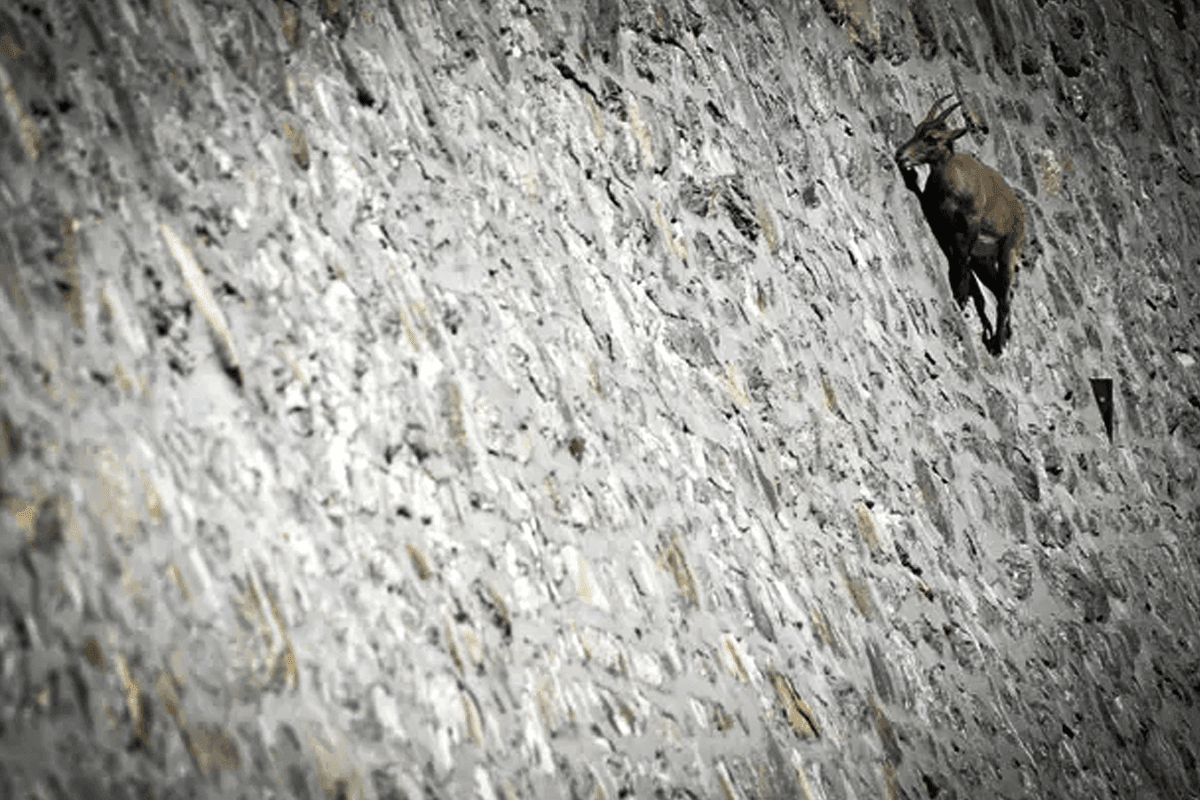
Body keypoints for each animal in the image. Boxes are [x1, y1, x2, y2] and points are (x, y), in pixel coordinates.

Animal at [895, 94, 1026, 355]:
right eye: (917, 129)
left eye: (932, 138)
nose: (901, 155)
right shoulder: (941, 218)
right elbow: (956, 252)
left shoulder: (971, 223)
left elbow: (962, 257)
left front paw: (961, 295)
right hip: (985, 260)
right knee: (1002, 292)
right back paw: (1005, 335)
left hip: (1008, 252)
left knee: (1004, 297)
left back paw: (997, 344)